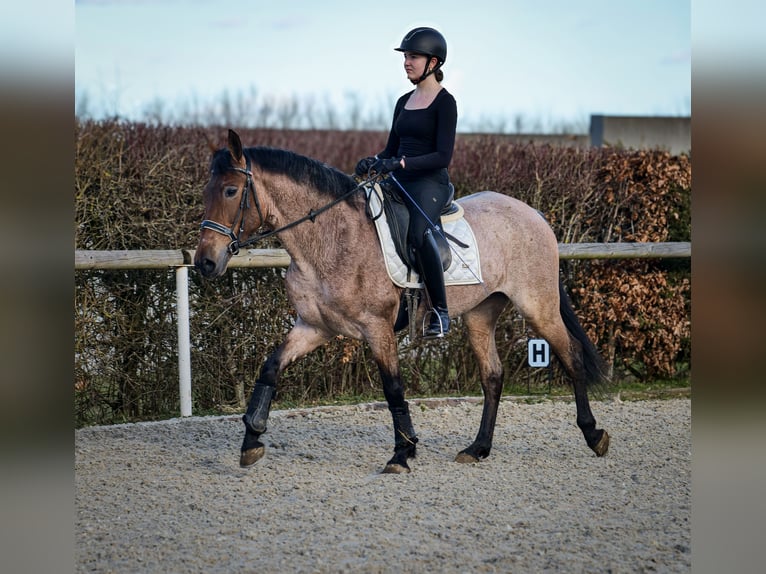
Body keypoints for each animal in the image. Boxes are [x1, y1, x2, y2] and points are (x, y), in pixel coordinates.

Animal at [194, 132, 612, 476]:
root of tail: (533, 213)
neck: (331, 239)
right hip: (481, 313)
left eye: (230, 191)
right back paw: (477, 449)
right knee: (492, 376)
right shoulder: (314, 326)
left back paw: (594, 435)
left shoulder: (377, 327)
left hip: (538, 306)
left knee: (572, 357)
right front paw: (251, 440)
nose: (205, 262)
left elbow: (393, 388)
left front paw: (402, 453)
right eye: (207, 191)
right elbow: (270, 368)